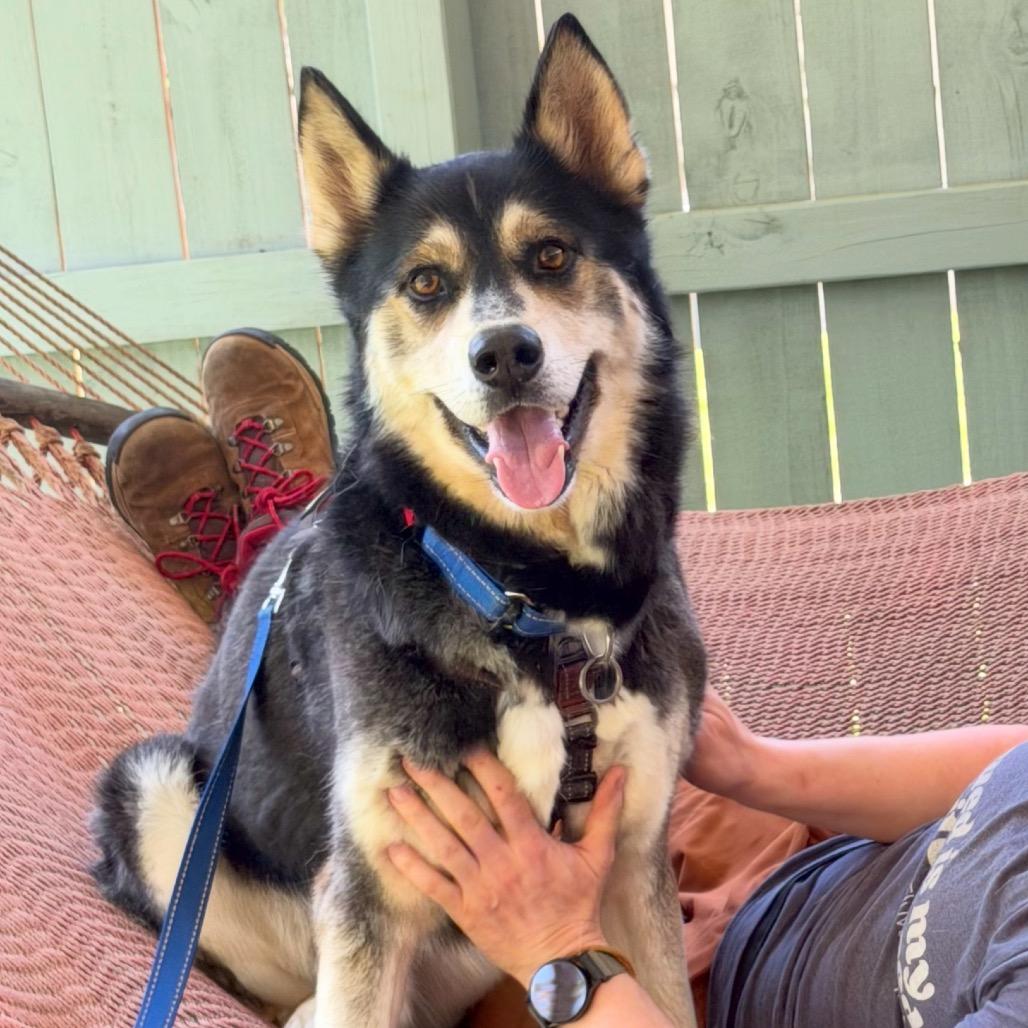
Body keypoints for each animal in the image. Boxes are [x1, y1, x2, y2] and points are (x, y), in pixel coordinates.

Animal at [91, 14, 705, 1027]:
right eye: (425, 283)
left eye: (551, 256)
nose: (504, 353)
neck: (521, 590)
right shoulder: (369, 890)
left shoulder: (631, 859)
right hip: (158, 793)